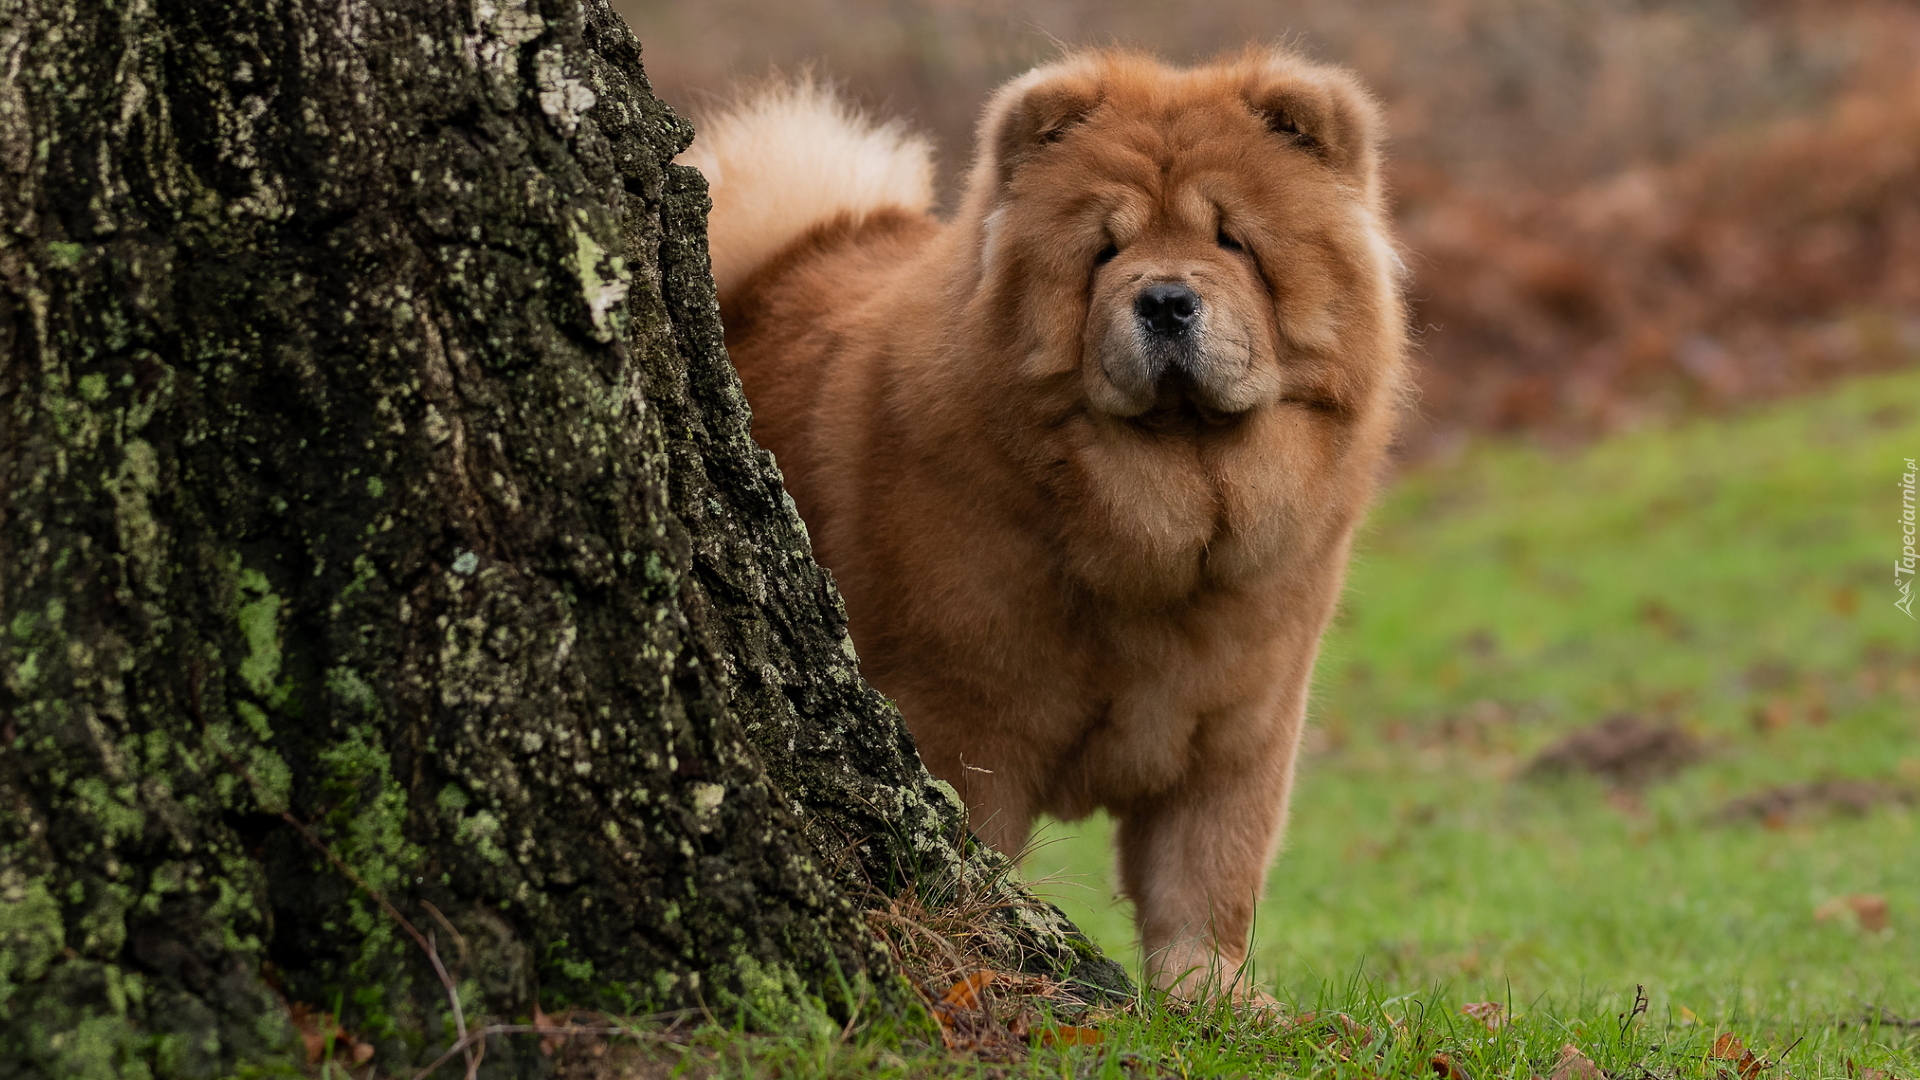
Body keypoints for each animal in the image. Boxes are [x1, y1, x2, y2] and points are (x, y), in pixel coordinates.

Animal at [683, 50, 1405, 991]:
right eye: (1106, 251)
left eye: (1232, 241)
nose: (1165, 299)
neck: (1162, 514)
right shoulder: (965, 721)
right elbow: (975, 844)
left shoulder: (1242, 730)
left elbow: (1207, 880)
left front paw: (1213, 999)